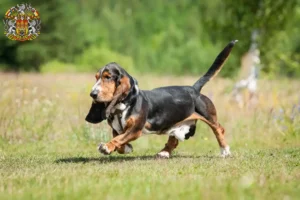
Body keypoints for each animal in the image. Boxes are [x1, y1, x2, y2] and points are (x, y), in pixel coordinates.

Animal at [84, 39, 237, 158]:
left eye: (108, 77)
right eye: (96, 77)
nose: (93, 94)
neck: (122, 107)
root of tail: (193, 89)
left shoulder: (135, 130)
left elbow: (118, 139)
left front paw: (106, 147)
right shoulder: (117, 130)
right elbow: (120, 140)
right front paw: (127, 148)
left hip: (208, 115)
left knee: (219, 129)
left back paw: (225, 150)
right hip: (176, 124)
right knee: (173, 140)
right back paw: (164, 153)